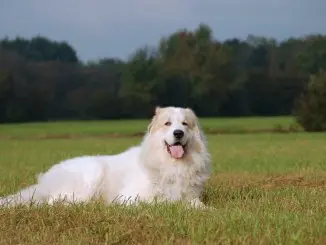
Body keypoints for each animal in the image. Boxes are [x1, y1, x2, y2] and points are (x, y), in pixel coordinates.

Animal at [0, 106, 211, 208]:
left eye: (185, 124)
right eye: (167, 124)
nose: (178, 133)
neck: (170, 164)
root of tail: (45, 180)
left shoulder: (191, 196)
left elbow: (198, 205)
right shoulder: (129, 198)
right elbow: (161, 202)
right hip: (93, 171)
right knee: (53, 202)